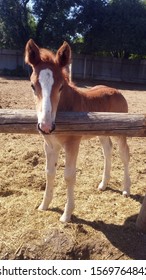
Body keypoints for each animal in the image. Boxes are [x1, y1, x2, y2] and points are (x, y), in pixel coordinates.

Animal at [24, 40, 131, 223]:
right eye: (32, 86)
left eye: (61, 87)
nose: (46, 126)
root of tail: (117, 91)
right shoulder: (50, 145)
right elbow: (49, 172)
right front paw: (44, 205)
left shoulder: (72, 144)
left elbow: (68, 176)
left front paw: (67, 215)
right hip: (103, 133)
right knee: (107, 151)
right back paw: (103, 184)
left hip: (120, 132)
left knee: (124, 154)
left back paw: (126, 189)